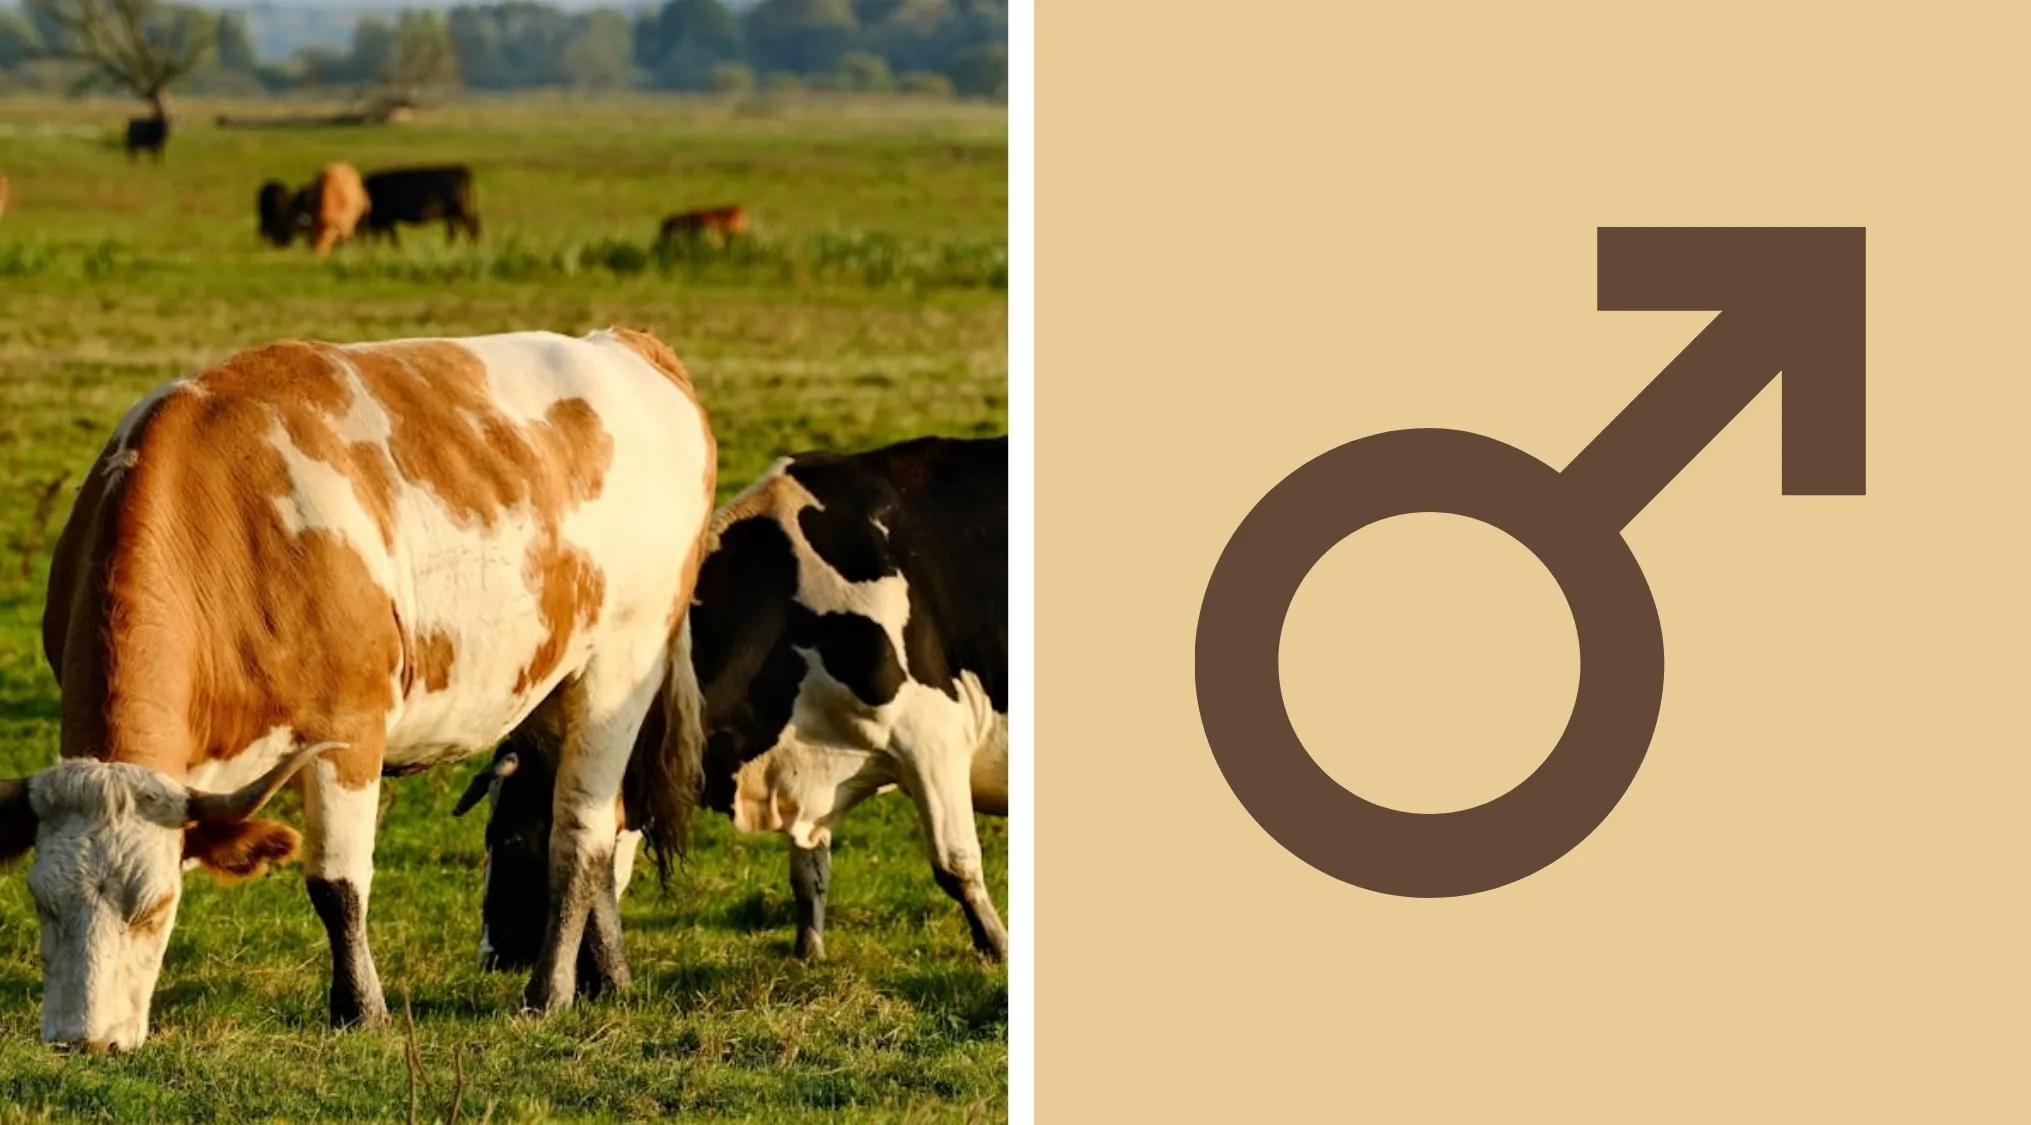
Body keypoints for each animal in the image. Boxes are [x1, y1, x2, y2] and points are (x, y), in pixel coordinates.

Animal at [0, 326, 717, 1054]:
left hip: (621, 668)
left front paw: (359, 1009)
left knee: (581, 834)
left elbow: (335, 883)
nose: (81, 1039)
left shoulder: (349, 728)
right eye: (40, 903)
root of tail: (625, 344)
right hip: (549, 687)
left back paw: (548, 992)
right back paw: (609, 978)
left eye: (155, 906)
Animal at [458, 436, 1009, 967]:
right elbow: (808, 872)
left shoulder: (932, 737)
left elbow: (955, 864)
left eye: (510, 838)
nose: (492, 954)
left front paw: (997, 947)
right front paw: (808, 953)